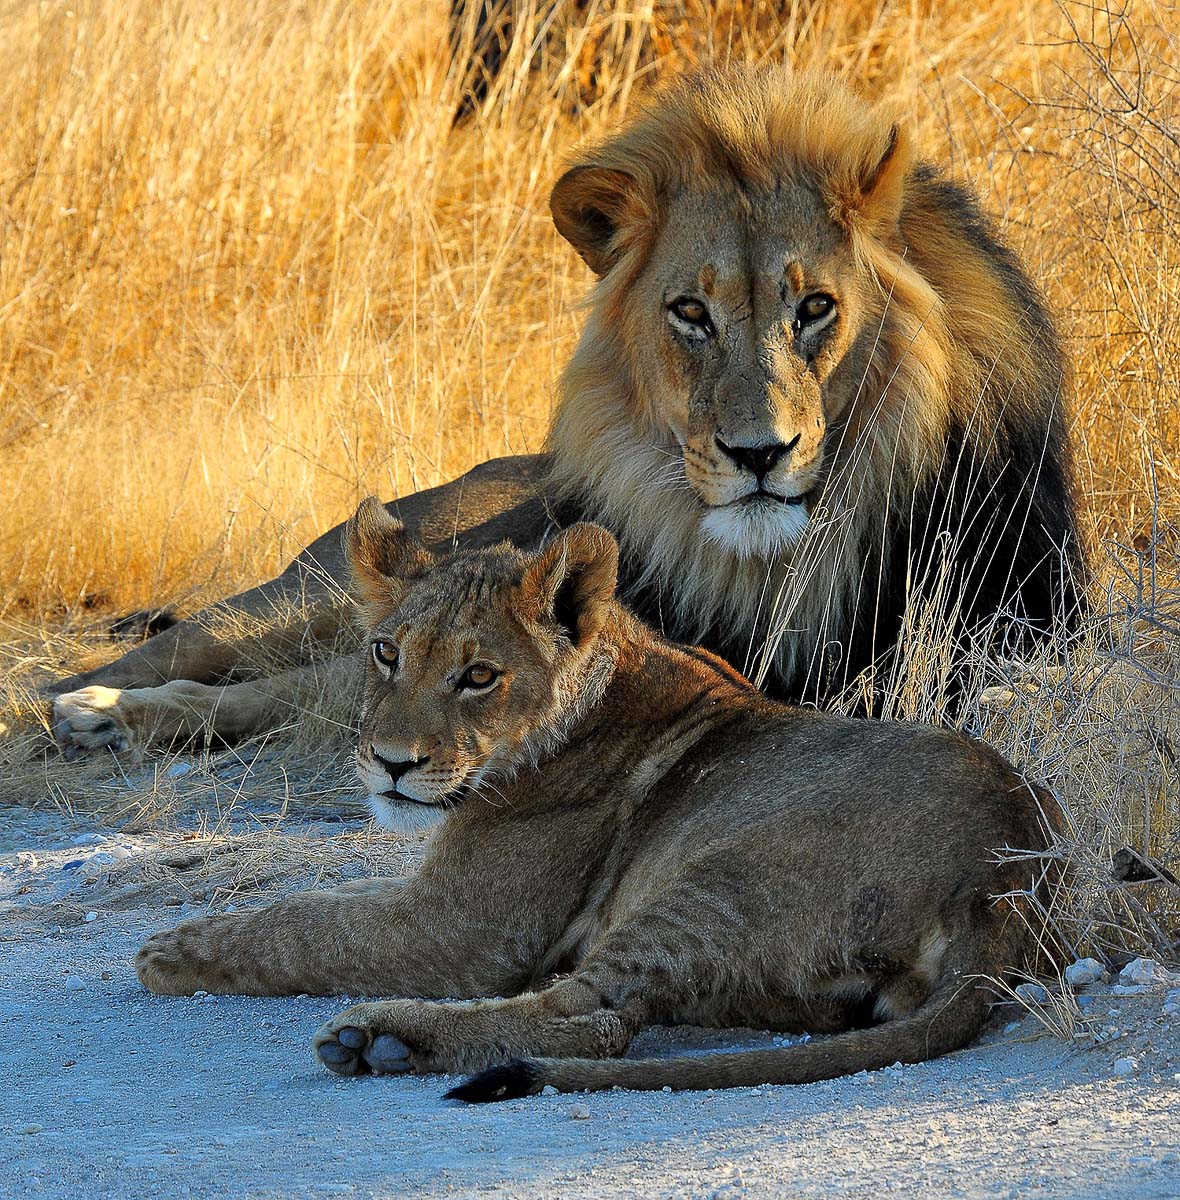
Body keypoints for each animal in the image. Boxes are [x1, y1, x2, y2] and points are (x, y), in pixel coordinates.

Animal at [51, 65, 1085, 755]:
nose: (758, 453)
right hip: (314, 594)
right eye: (691, 311)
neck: (780, 559)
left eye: (816, 308)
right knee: (211, 660)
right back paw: (90, 711)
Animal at [135, 499, 1064, 1099]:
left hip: (712, 883)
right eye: (386, 653)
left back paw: (384, 1038)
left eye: (479, 677)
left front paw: (170, 949)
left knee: (598, 1019)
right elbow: (331, 897)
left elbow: (306, 926)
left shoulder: (462, 931)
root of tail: (1009, 877)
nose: (390, 764)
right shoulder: (432, 888)